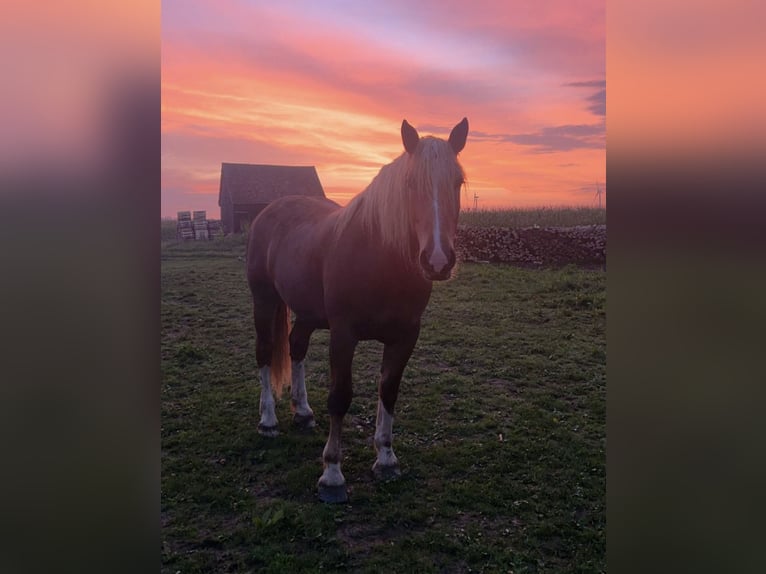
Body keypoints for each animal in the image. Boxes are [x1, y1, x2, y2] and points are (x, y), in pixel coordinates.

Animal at [249, 118, 472, 504]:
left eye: (457, 182)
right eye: (410, 184)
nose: (437, 261)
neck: (379, 256)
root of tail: (269, 211)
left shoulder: (405, 336)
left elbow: (389, 390)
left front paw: (386, 459)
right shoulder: (344, 335)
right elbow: (340, 397)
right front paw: (332, 475)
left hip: (307, 314)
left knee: (296, 346)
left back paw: (303, 412)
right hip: (263, 301)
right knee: (265, 353)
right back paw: (269, 422)